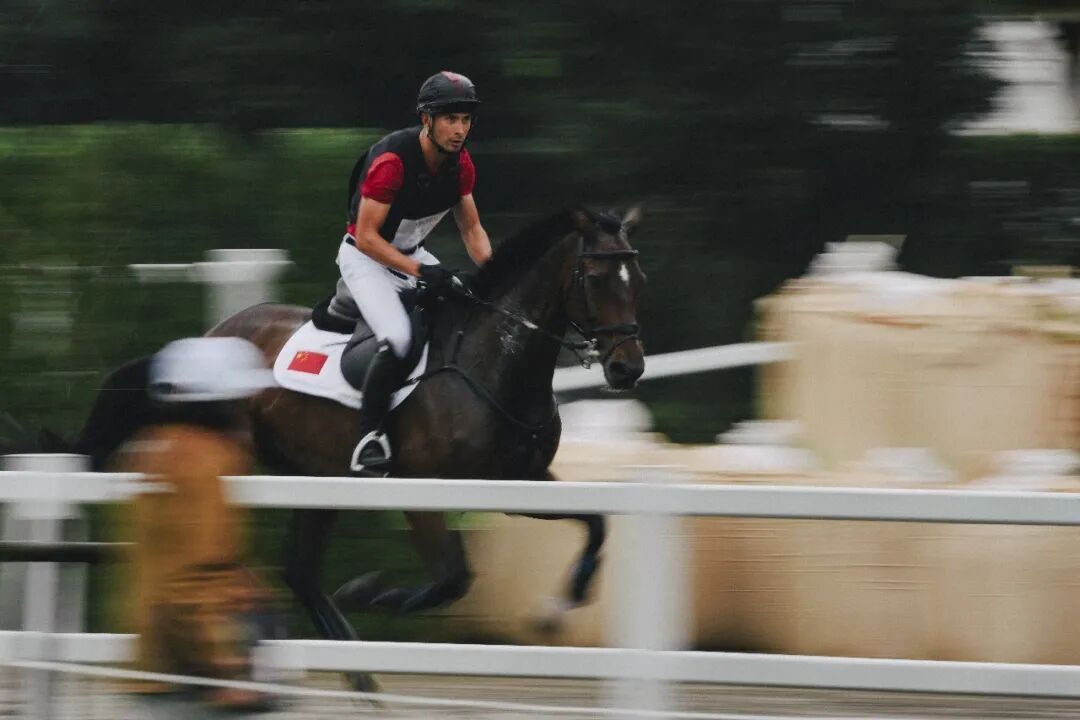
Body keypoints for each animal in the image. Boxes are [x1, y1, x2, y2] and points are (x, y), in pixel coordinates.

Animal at [77, 206, 646, 688]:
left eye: (637, 280)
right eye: (597, 279)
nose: (628, 368)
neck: (493, 361)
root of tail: (209, 337)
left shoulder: (517, 484)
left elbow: (595, 523)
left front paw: (566, 601)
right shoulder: (422, 490)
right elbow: (453, 579)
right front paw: (375, 593)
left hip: (314, 480)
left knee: (300, 572)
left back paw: (359, 676)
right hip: (242, 460)